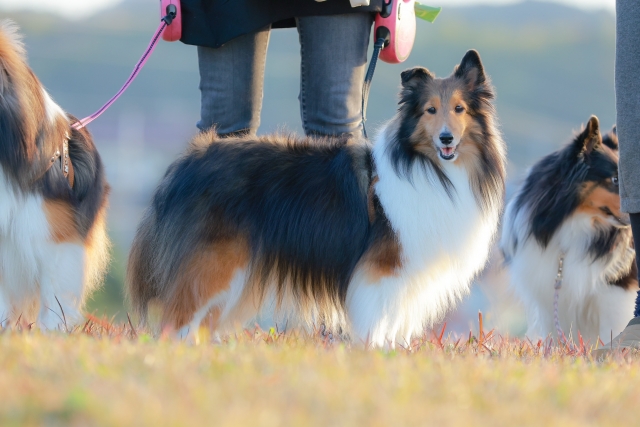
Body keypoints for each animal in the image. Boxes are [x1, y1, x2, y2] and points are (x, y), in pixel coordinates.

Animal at [125, 49, 504, 348]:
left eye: (459, 109)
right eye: (430, 110)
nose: (446, 139)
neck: (428, 167)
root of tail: (188, 160)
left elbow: (395, 319)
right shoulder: (382, 269)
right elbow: (378, 319)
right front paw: (374, 352)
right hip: (214, 263)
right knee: (177, 317)